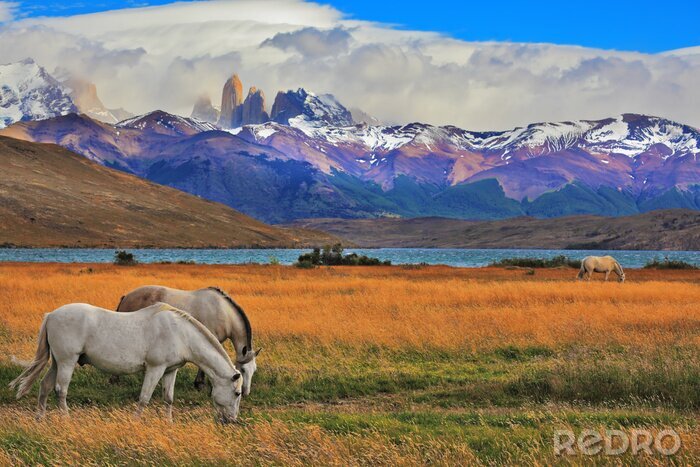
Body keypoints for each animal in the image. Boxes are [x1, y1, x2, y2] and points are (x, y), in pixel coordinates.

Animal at [9, 303, 243, 423]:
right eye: (237, 393)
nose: (231, 420)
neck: (180, 333)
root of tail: (51, 315)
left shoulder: (170, 371)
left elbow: (168, 399)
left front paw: (168, 423)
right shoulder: (155, 369)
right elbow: (144, 398)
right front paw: (136, 422)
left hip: (57, 362)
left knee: (45, 386)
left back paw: (40, 418)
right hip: (67, 362)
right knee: (60, 390)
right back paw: (66, 419)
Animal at [116, 286, 260, 396]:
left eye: (254, 370)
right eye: (243, 370)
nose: (245, 392)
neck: (223, 312)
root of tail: (126, 297)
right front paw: (201, 385)